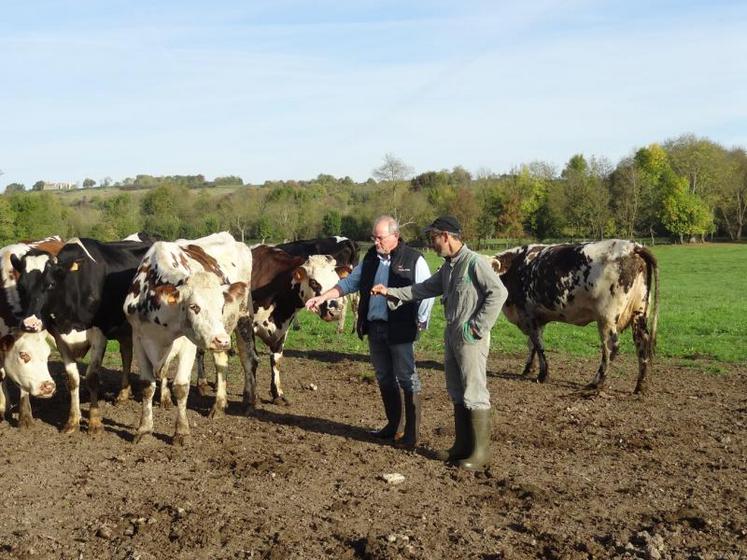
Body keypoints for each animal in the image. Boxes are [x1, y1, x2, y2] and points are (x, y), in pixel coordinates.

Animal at [11, 236, 153, 434]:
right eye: (21, 286)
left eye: (50, 284)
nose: (30, 324)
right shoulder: (60, 338)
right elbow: (72, 379)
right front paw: (72, 421)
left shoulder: (99, 335)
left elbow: (92, 378)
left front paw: (94, 422)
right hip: (125, 330)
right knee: (127, 354)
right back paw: (123, 394)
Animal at [125, 232, 258, 446]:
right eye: (194, 306)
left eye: (221, 306)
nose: (222, 340)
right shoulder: (138, 338)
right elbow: (147, 386)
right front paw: (144, 429)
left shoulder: (188, 344)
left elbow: (180, 387)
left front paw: (181, 432)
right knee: (221, 362)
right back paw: (219, 405)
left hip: (243, 317)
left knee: (249, 359)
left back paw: (249, 402)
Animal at [194, 245, 344, 406]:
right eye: (314, 282)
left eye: (337, 281)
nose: (335, 311)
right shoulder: (247, 324)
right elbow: (252, 359)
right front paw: (252, 394)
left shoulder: (284, 329)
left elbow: (276, 360)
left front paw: (277, 393)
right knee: (200, 350)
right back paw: (202, 383)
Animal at [490, 240, 660, 394]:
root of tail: (633, 246)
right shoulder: (537, 318)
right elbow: (532, 345)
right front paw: (528, 369)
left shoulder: (528, 314)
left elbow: (538, 345)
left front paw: (542, 375)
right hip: (639, 313)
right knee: (642, 344)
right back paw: (640, 386)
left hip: (606, 317)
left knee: (611, 347)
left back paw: (595, 383)